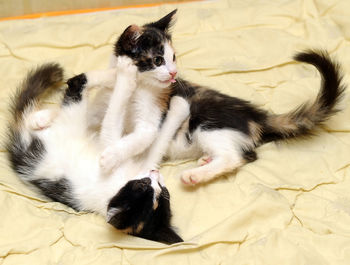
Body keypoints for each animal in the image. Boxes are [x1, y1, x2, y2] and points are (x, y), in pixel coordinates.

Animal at [4, 56, 189, 243]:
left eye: (162, 192)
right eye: (143, 186)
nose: (154, 174)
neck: (116, 188)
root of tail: (20, 142)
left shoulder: (113, 150)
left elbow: (118, 122)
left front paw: (177, 106)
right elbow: (155, 141)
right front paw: (180, 107)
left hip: (70, 121)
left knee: (77, 87)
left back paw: (118, 73)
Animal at [69, 10, 346, 185]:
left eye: (173, 58)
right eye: (158, 60)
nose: (174, 73)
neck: (140, 87)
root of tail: (255, 115)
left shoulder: (154, 117)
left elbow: (140, 136)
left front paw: (111, 157)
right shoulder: (104, 103)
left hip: (206, 122)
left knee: (236, 156)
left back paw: (195, 175)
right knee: (247, 155)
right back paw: (206, 160)